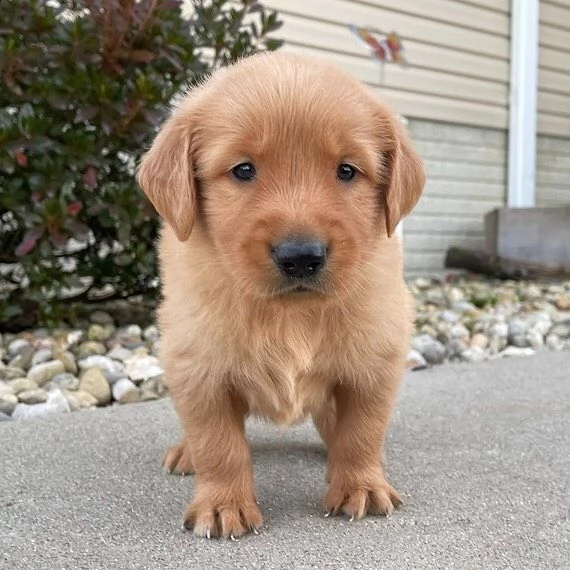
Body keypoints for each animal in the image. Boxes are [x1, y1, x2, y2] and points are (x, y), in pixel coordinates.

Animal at [135, 48, 424, 536]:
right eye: (243, 170)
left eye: (347, 170)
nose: (301, 256)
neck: (290, 313)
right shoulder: (197, 366)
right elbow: (218, 443)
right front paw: (223, 504)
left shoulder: (375, 360)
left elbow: (362, 431)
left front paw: (361, 485)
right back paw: (185, 452)